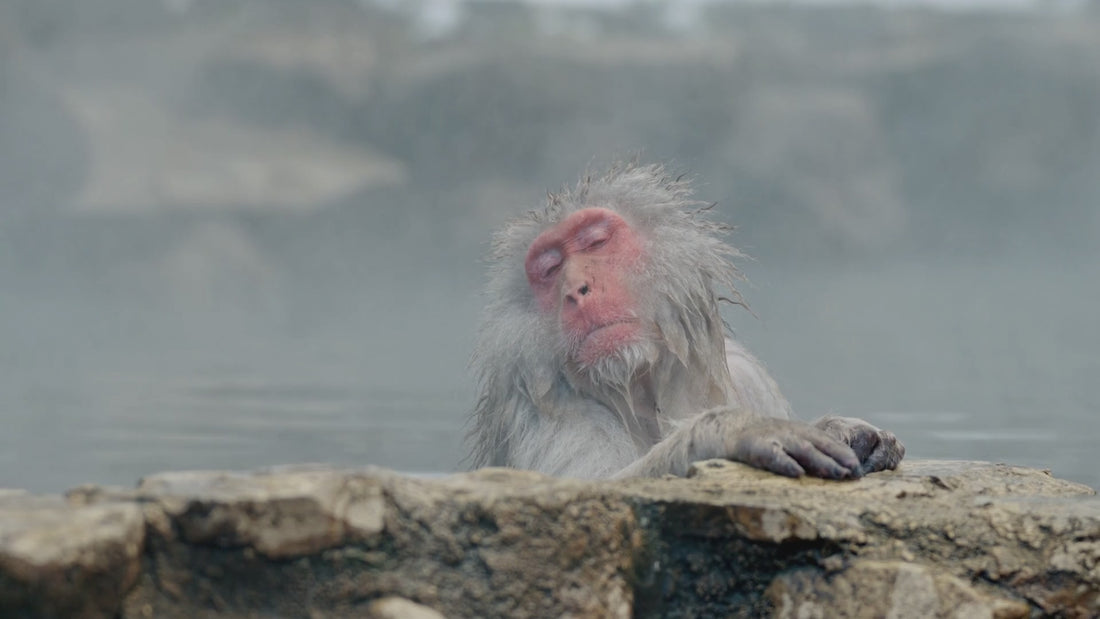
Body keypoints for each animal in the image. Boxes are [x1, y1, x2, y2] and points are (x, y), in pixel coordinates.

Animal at [467, 163, 904, 480]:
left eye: (597, 241)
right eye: (550, 269)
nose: (576, 290)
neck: (644, 391)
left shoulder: (748, 376)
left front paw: (840, 429)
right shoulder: (548, 409)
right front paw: (734, 431)